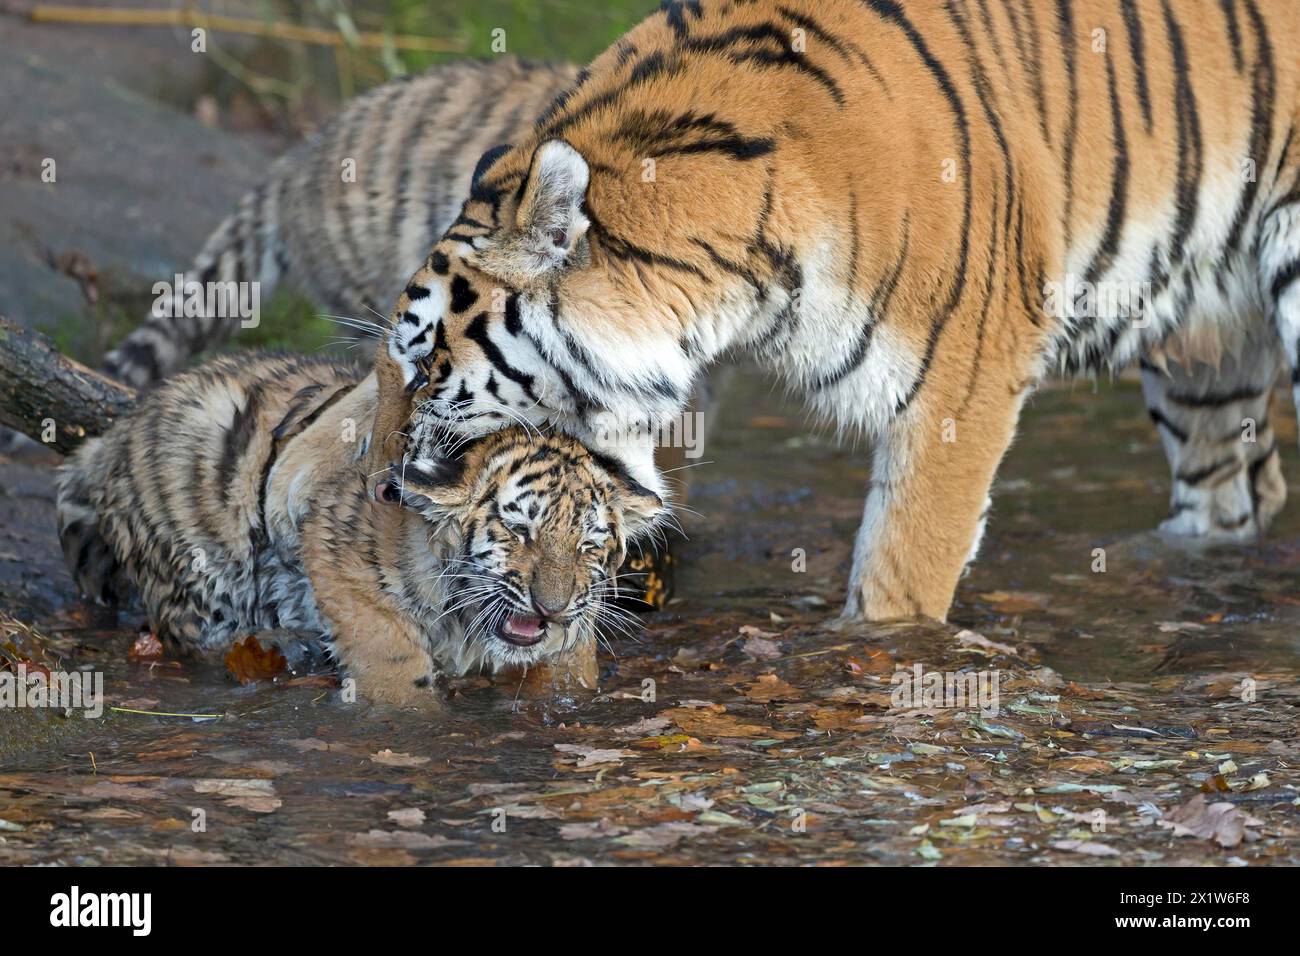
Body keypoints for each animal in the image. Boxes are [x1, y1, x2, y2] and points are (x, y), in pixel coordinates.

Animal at [56, 349, 664, 707]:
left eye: (587, 545)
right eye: (520, 531)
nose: (551, 607)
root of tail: (117, 431)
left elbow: (569, 666)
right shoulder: (333, 544)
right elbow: (388, 652)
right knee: (190, 637)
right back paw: (281, 646)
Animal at [372, 0, 1300, 624]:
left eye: (425, 368)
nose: (383, 484)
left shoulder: (962, 390)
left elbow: (900, 577)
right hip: (1207, 362)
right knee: (1236, 493)